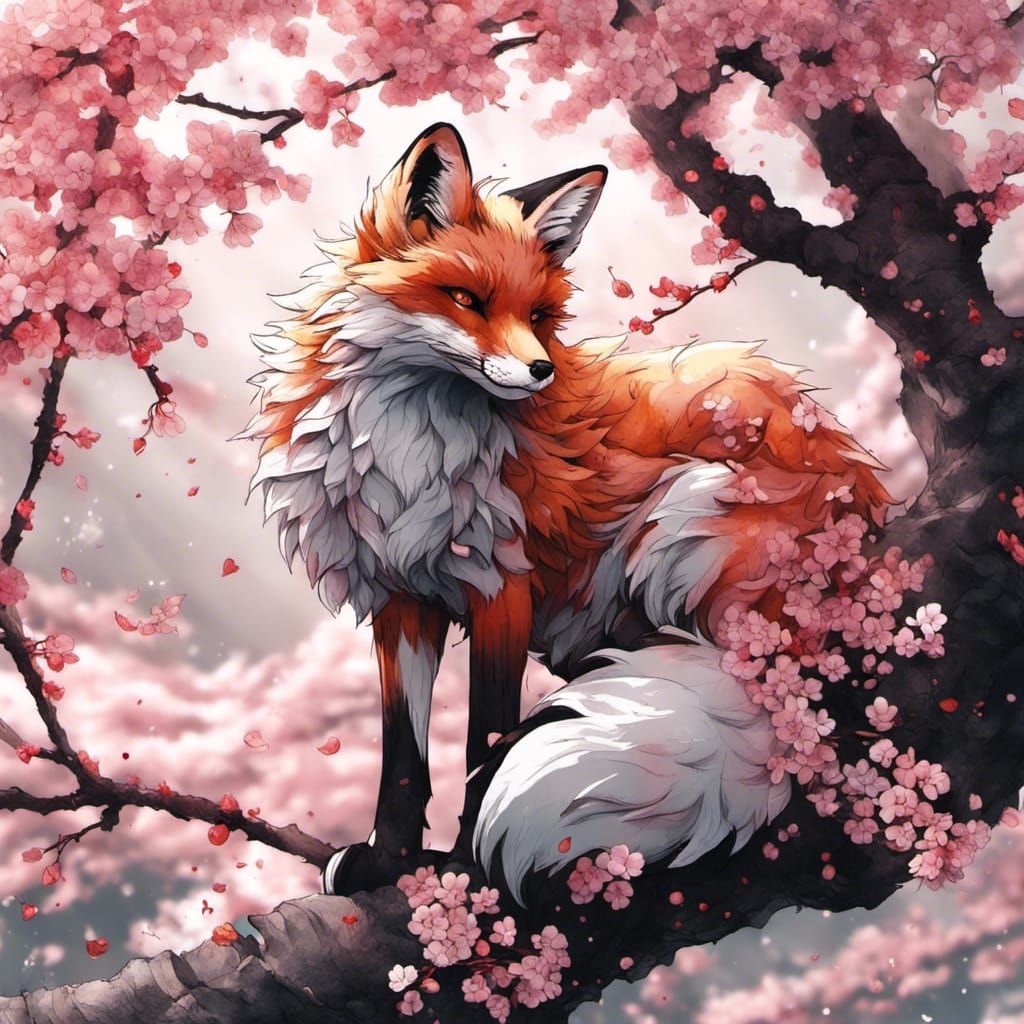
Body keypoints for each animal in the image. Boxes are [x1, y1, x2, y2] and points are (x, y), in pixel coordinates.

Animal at [243, 122, 891, 899]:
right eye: (466, 298)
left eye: (537, 317)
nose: (540, 370)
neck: (410, 457)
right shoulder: (400, 595)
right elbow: (403, 756)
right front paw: (389, 861)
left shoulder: (502, 585)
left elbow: (483, 745)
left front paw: (464, 874)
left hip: (679, 524)